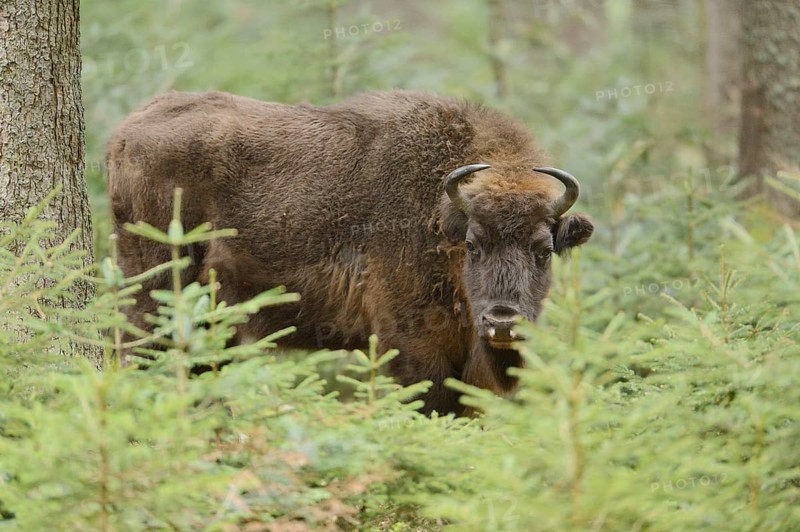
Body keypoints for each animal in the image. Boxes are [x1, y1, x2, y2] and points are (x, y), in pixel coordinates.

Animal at [107, 90, 593, 415]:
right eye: (473, 246)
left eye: (543, 250)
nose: (502, 321)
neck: (439, 214)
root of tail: (123, 136)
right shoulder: (416, 349)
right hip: (157, 290)